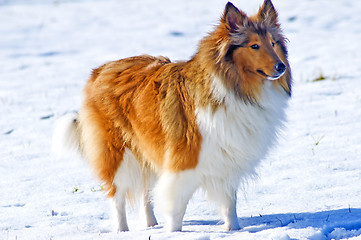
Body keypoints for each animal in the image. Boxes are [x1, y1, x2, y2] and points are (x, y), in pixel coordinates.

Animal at [52, 0, 292, 232]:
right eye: (254, 45)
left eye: (273, 43)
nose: (280, 67)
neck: (235, 89)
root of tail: (100, 70)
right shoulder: (183, 161)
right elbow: (176, 205)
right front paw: (174, 232)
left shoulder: (227, 161)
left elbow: (229, 202)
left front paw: (234, 230)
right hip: (117, 154)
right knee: (116, 196)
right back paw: (122, 230)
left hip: (147, 151)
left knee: (145, 192)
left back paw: (151, 224)